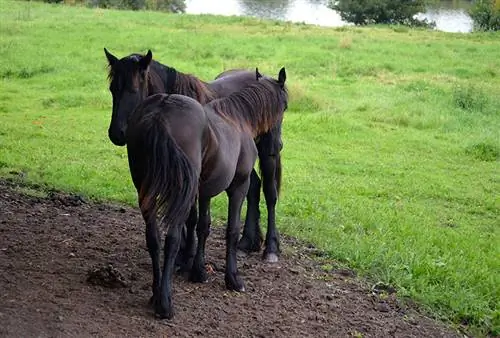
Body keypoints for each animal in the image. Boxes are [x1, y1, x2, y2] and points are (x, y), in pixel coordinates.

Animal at [103, 48, 284, 262]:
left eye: (133, 89)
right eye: (113, 89)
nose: (117, 133)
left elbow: (191, 216)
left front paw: (186, 255)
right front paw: (184, 252)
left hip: (268, 153)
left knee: (270, 194)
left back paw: (270, 248)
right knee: (254, 187)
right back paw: (247, 242)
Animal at [126, 68, 290, 316]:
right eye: (285, 106)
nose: (276, 146)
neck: (239, 118)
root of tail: (161, 111)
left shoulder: (204, 192)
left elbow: (203, 226)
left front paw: (199, 271)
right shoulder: (237, 186)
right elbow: (231, 229)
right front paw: (233, 278)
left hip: (146, 190)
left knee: (153, 238)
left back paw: (155, 294)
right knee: (172, 239)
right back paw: (165, 302)